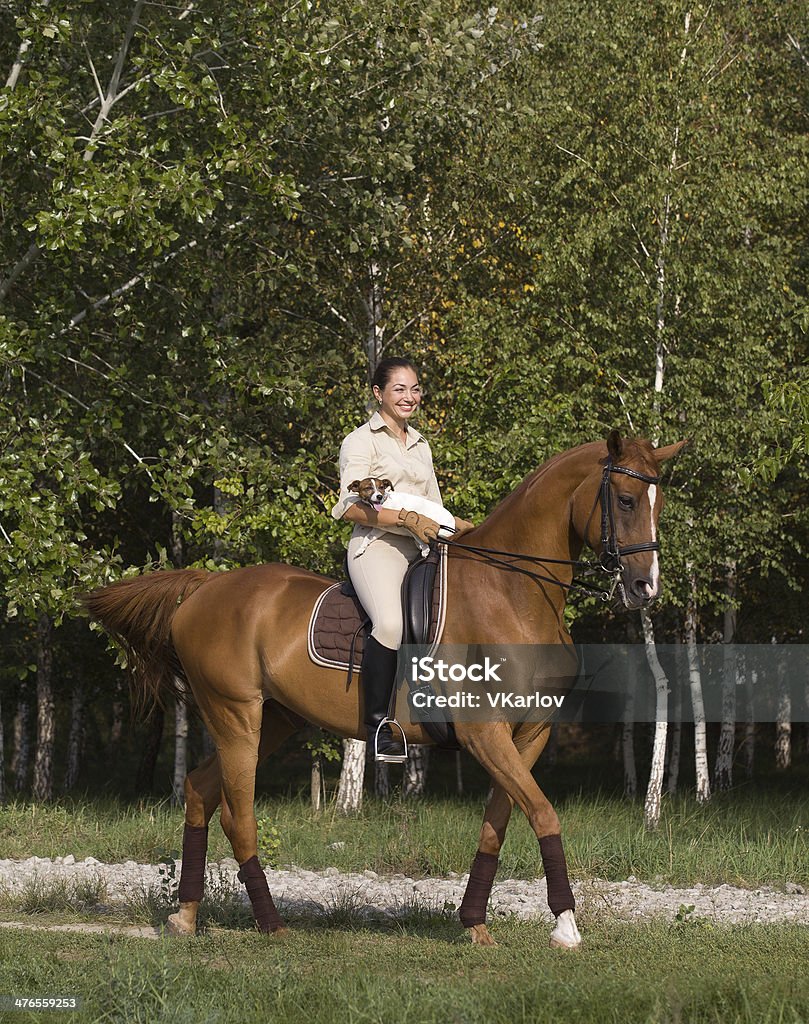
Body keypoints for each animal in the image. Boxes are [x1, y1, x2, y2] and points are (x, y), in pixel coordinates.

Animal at [87, 428, 684, 946]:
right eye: (626, 500)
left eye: (658, 505)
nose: (645, 587)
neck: (513, 593)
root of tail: (204, 586)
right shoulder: (485, 733)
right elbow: (543, 814)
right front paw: (565, 927)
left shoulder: (527, 735)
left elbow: (498, 824)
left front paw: (475, 923)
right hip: (237, 716)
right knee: (239, 816)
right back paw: (270, 923)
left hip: (274, 718)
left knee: (199, 792)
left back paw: (185, 916)